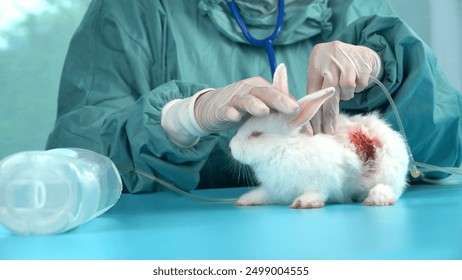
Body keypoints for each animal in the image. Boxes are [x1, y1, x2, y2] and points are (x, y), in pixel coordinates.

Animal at [230, 64, 408, 208]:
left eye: (256, 134)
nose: (231, 146)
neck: (284, 148)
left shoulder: (323, 180)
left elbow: (318, 192)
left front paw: (304, 203)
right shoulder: (277, 190)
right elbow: (264, 195)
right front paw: (245, 200)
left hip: (387, 173)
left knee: (390, 189)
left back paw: (376, 199)